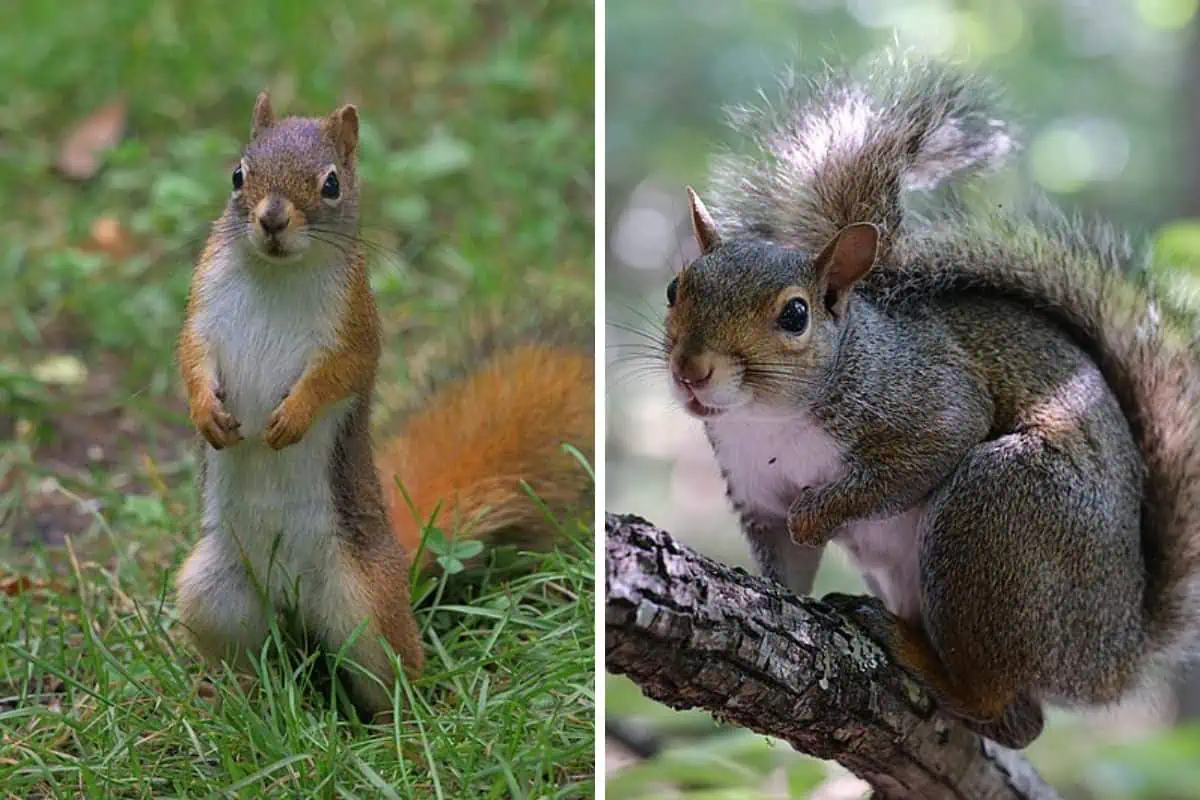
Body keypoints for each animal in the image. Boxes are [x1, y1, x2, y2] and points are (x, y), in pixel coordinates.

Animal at [662, 53, 1200, 748]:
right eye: (675, 288)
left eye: (795, 315)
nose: (691, 372)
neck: (768, 420)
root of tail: (1113, 655)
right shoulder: (755, 489)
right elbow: (786, 561)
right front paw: (772, 592)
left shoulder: (923, 398)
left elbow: (926, 451)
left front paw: (818, 514)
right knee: (1020, 719)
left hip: (1000, 513)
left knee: (1001, 702)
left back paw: (914, 653)